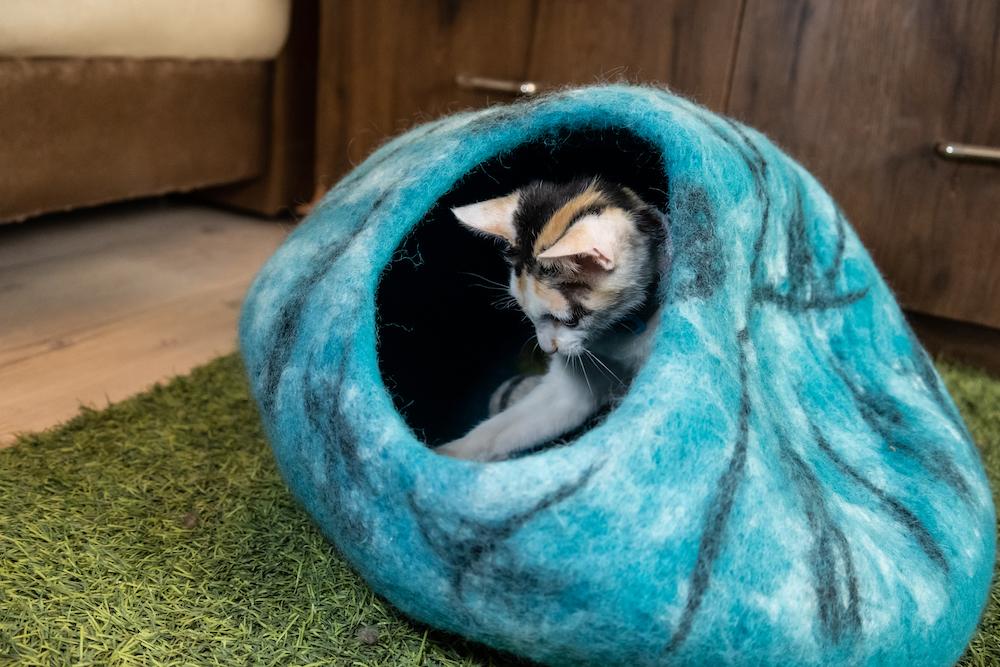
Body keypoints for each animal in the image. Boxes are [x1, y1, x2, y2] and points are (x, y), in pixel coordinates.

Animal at [436, 177, 664, 462]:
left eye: (569, 321)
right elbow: (499, 431)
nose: (546, 349)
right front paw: (438, 458)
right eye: (526, 313)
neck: (618, 334)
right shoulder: (567, 392)